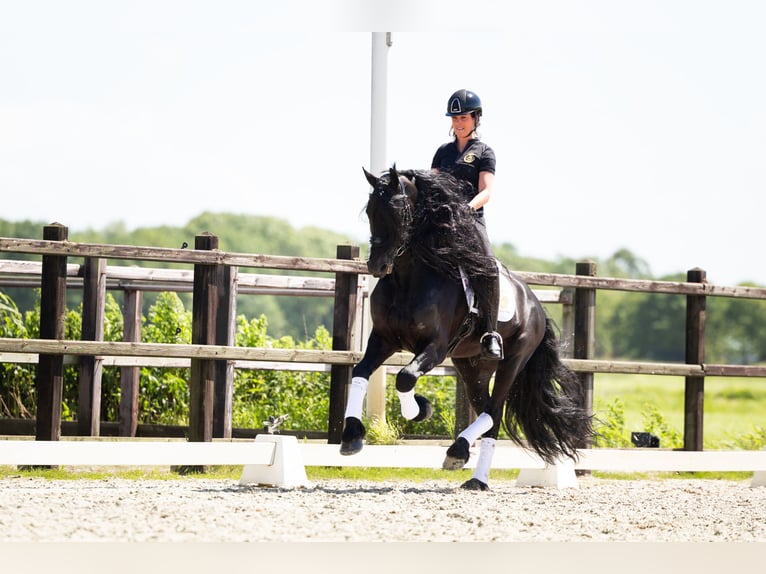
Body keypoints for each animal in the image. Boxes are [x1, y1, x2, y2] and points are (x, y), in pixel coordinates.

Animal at [342, 165, 592, 490]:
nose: (377, 266)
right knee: (488, 411)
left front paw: (419, 409)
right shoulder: (384, 339)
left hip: (513, 360)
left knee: (493, 410)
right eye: (371, 210)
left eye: (398, 211)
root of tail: (536, 305)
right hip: (472, 366)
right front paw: (351, 436)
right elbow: (360, 373)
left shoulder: (435, 347)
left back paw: (462, 458)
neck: (410, 278)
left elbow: (406, 378)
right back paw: (471, 471)